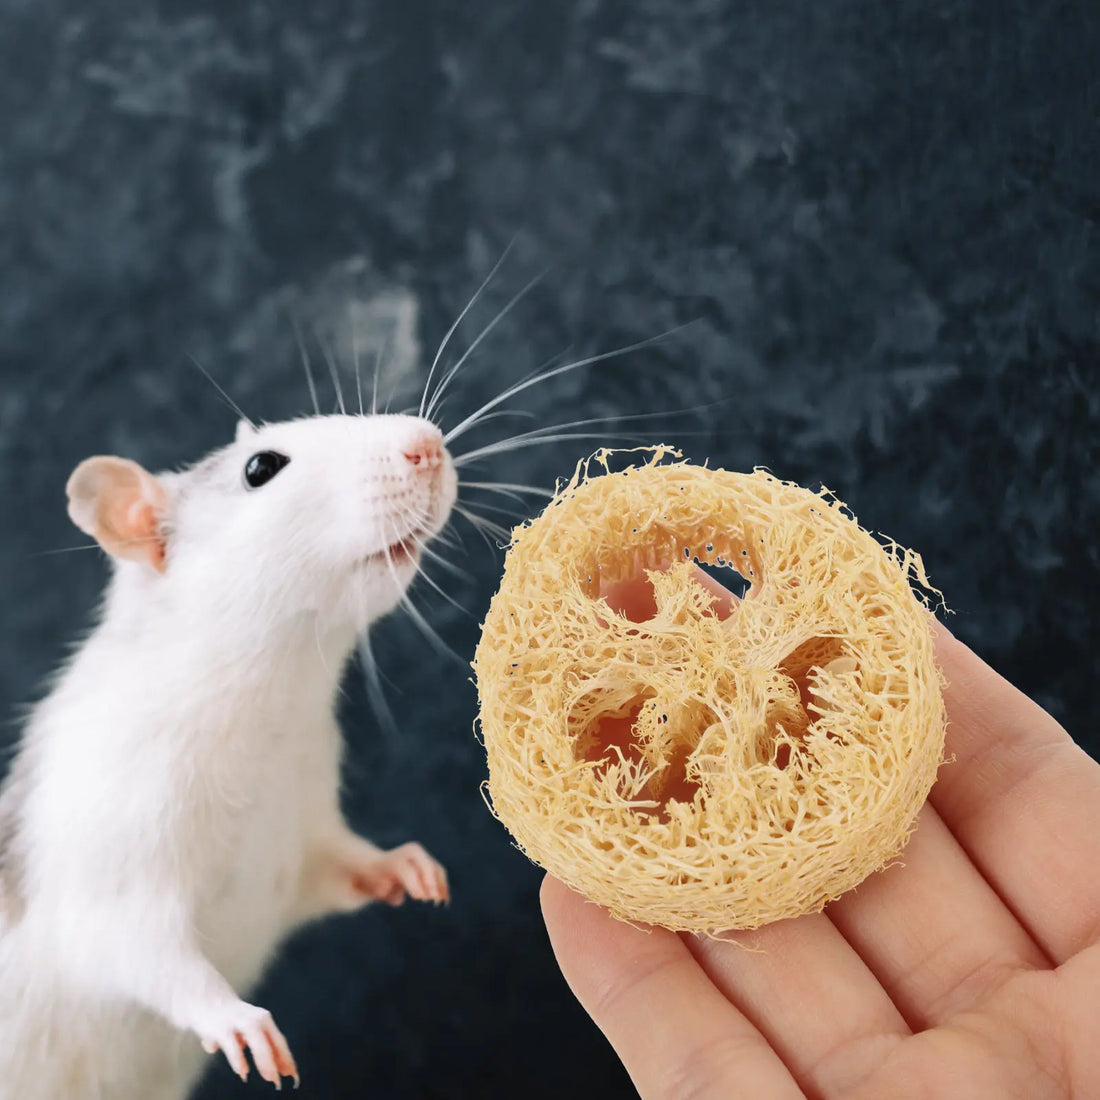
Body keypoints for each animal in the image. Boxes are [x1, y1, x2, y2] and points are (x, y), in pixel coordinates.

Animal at [0, 412, 456, 1098]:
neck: (269, 713)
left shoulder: (303, 822)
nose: (426, 444)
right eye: (261, 468)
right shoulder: (118, 821)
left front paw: (395, 863)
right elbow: (124, 942)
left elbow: (332, 867)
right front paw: (230, 1014)